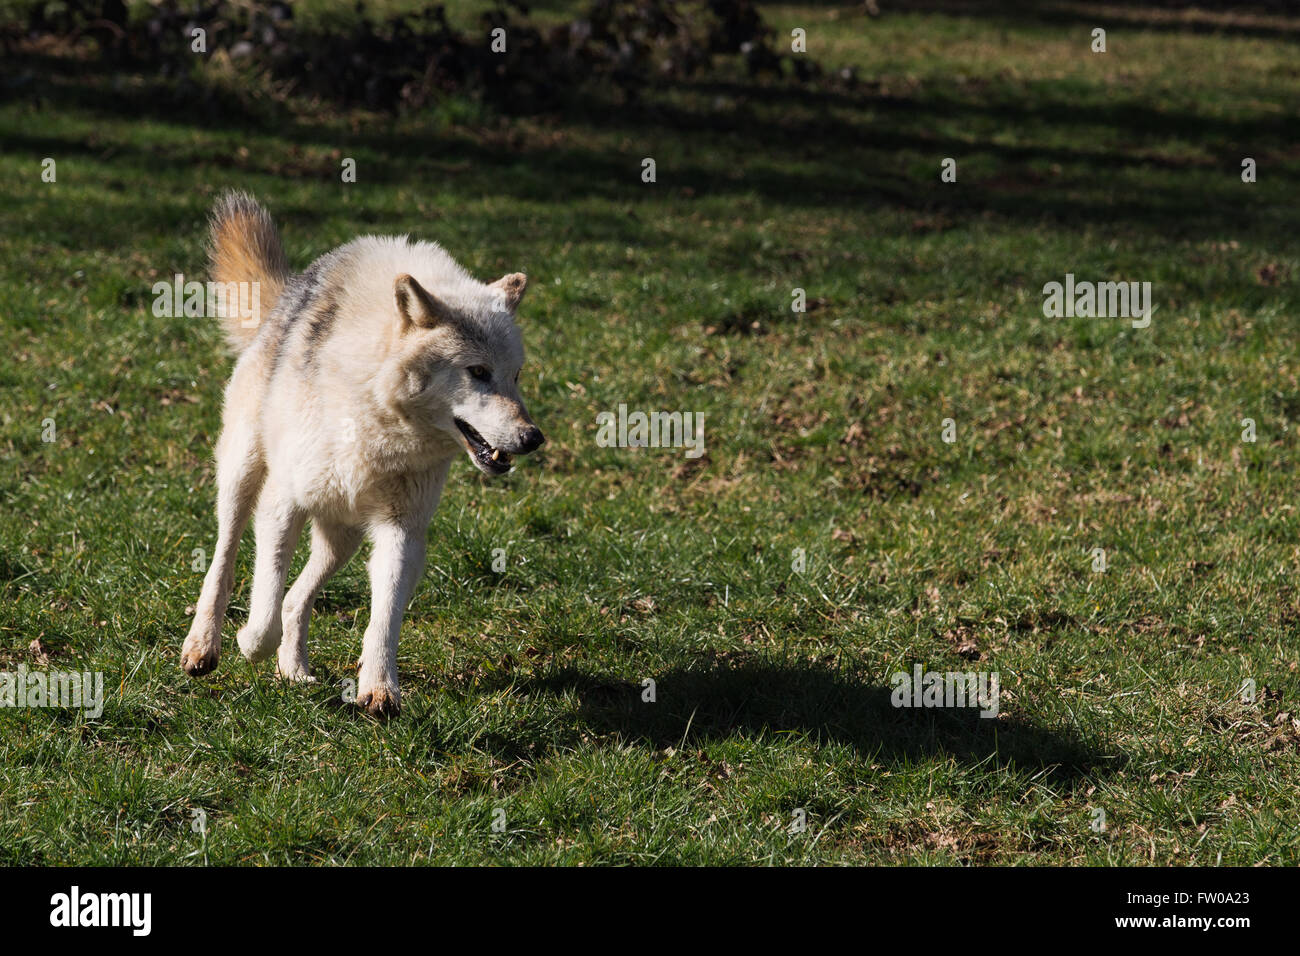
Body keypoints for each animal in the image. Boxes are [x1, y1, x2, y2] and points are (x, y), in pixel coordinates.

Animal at [179, 192, 543, 717]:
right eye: (477, 372)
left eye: (516, 375)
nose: (533, 438)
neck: (376, 420)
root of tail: (288, 295)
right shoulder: (282, 503)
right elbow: (264, 600)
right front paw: (249, 642)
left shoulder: (403, 532)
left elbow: (384, 616)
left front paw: (380, 689)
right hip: (242, 478)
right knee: (223, 563)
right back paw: (204, 646)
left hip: (344, 534)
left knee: (297, 597)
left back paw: (294, 671)